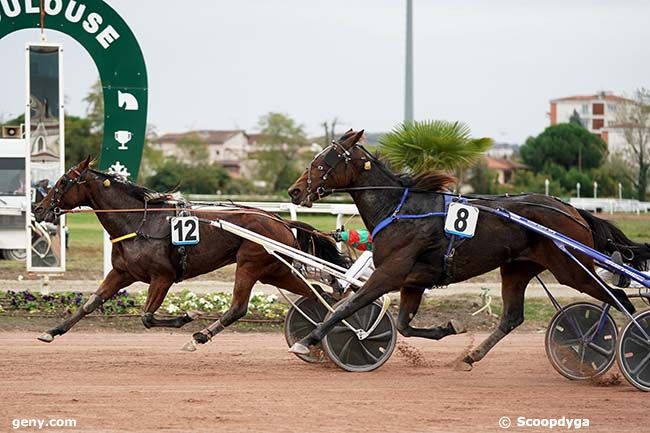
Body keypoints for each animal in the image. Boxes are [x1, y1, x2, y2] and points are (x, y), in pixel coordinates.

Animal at [33, 157, 346, 346]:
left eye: (63, 182)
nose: (38, 208)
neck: (138, 221)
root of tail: (280, 220)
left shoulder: (163, 277)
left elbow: (147, 317)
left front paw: (187, 316)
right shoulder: (122, 273)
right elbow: (90, 303)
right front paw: (52, 331)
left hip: (250, 264)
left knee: (239, 307)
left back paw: (200, 337)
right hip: (275, 271)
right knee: (321, 294)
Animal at [286, 129, 640, 368]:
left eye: (323, 161)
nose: (294, 191)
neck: (400, 209)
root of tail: (573, 211)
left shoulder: (390, 273)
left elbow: (347, 307)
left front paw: (308, 341)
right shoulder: (413, 281)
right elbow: (402, 325)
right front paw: (448, 327)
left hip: (572, 270)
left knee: (619, 299)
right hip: (517, 268)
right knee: (512, 317)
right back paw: (473, 355)